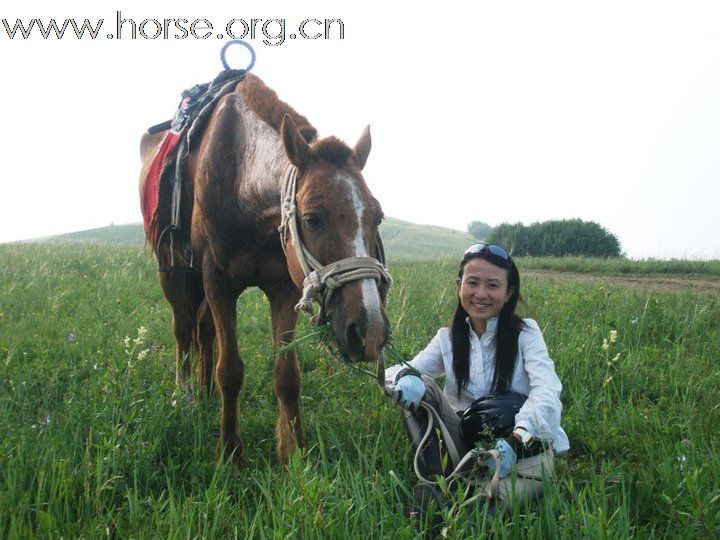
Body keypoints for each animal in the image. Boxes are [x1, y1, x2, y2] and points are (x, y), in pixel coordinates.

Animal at [138, 71, 390, 464]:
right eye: (313, 218)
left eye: (377, 216)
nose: (371, 332)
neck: (242, 179)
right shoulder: (218, 281)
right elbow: (231, 371)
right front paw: (230, 454)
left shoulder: (284, 288)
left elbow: (287, 374)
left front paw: (294, 453)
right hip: (174, 270)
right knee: (183, 329)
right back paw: (186, 394)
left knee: (203, 328)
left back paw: (204, 393)